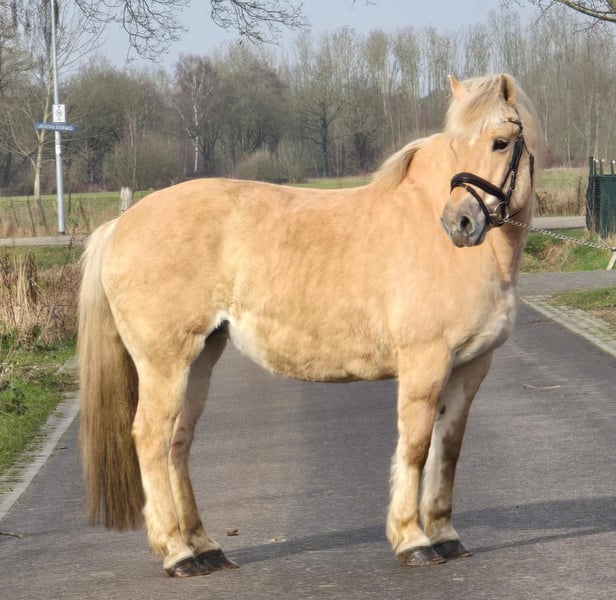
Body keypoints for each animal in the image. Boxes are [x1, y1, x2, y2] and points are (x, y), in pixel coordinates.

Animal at [78, 73, 540, 577]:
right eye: (455, 146)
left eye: (500, 143)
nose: (459, 223)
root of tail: (119, 225)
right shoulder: (426, 363)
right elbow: (415, 446)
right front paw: (413, 540)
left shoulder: (470, 368)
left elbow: (448, 448)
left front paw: (445, 535)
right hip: (165, 362)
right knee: (150, 438)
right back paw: (177, 553)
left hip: (200, 357)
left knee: (177, 444)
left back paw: (204, 548)